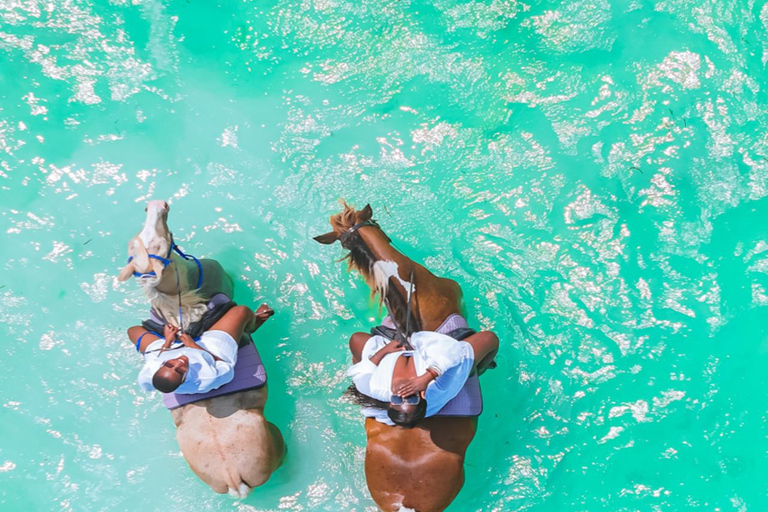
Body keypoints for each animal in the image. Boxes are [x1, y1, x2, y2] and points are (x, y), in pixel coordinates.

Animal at [119, 200, 285, 498]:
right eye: (160, 246)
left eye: (152, 242)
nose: (155, 205)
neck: (185, 314)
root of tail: (232, 477)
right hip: (274, 441)